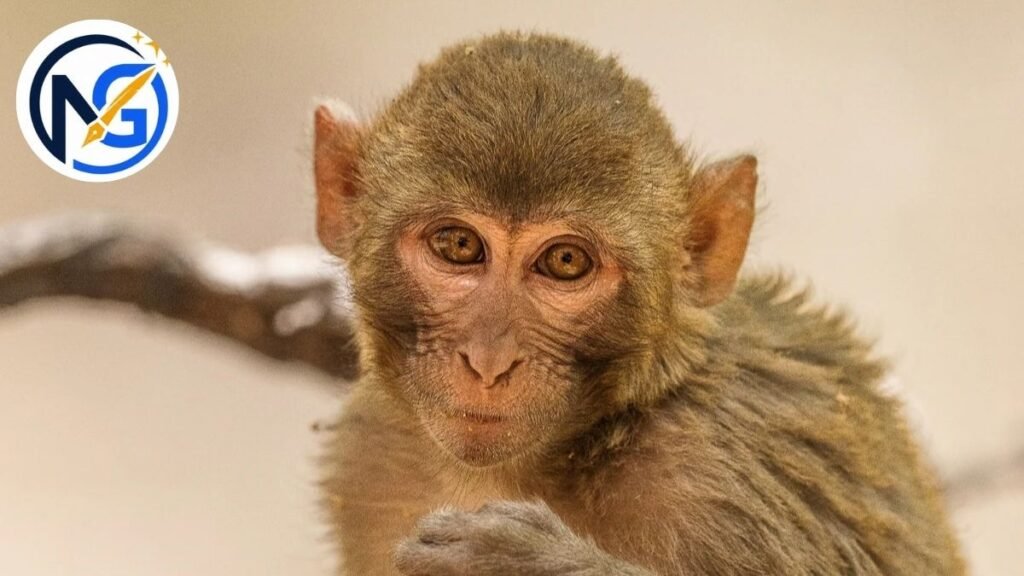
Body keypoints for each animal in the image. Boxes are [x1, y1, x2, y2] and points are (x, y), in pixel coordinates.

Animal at [313, 32, 965, 575]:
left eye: (565, 261)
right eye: (459, 245)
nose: (489, 362)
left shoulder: (718, 474)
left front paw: (521, 562)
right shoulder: (366, 455)